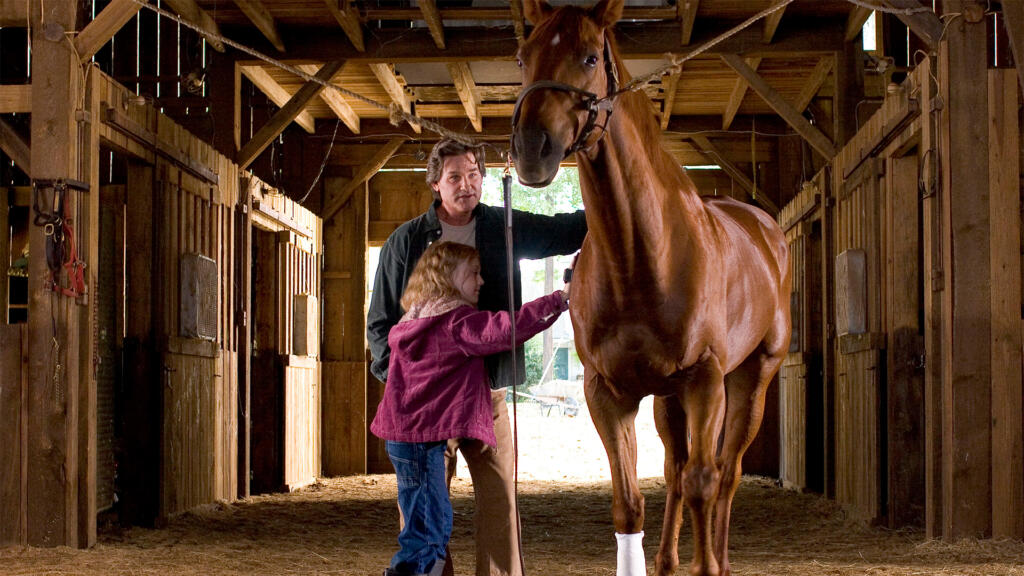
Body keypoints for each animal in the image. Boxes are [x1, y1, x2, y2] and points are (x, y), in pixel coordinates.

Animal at [512, 2, 790, 569]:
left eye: (590, 56)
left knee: (723, 475)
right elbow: (630, 502)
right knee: (674, 472)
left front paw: (709, 567)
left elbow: (705, 481)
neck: (641, 258)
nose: (532, 148)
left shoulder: (705, 380)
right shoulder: (606, 392)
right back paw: (666, 560)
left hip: (751, 378)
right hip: (668, 398)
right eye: (523, 56)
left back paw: (721, 559)